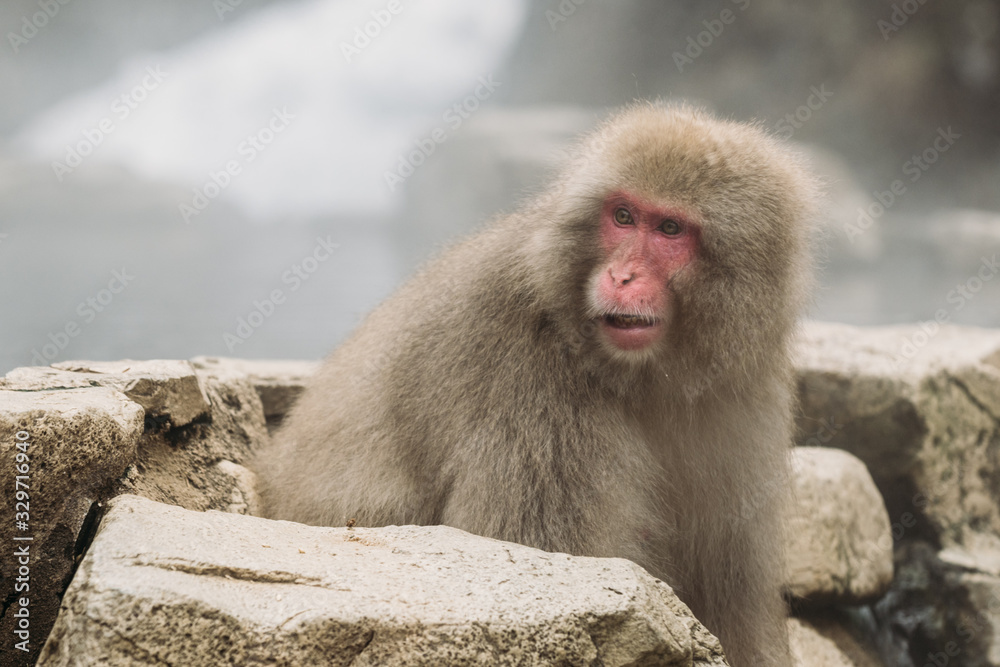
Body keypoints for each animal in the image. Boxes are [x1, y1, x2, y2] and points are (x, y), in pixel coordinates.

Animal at [256, 102, 816, 667]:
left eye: (670, 228)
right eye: (623, 217)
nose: (622, 277)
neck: (642, 375)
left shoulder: (742, 389)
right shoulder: (528, 378)